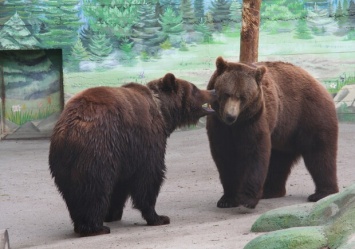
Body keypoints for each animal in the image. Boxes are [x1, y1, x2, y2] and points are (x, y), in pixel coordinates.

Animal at [48, 73, 216, 236]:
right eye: (195, 88)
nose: (212, 91)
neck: (163, 112)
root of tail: (69, 130)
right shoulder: (145, 141)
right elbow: (149, 176)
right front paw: (159, 217)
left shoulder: (125, 154)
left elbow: (121, 183)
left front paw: (112, 213)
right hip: (98, 150)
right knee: (94, 188)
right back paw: (95, 227)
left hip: (63, 162)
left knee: (72, 191)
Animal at [207, 56, 340, 208]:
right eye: (226, 94)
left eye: (243, 97)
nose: (230, 116)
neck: (236, 125)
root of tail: (318, 83)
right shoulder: (218, 123)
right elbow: (225, 155)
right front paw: (227, 199)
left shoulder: (253, 119)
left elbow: (255, 153)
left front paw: (247, 199)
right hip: (284, 132)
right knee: (278, 160)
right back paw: (271, 191)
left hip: (310, 114)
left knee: (319, 153)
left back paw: (322, 193)